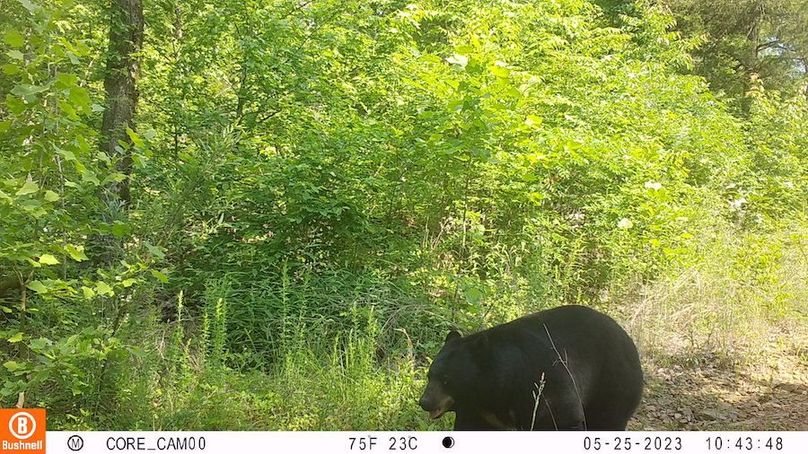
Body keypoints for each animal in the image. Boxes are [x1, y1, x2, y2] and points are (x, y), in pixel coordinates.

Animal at [418, 305, 643, 430]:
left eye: (447, 379)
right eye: (430, 376)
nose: (424, 402)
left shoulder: (542, 387)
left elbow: (563, 419)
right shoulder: (480, 413)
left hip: (613, 383)